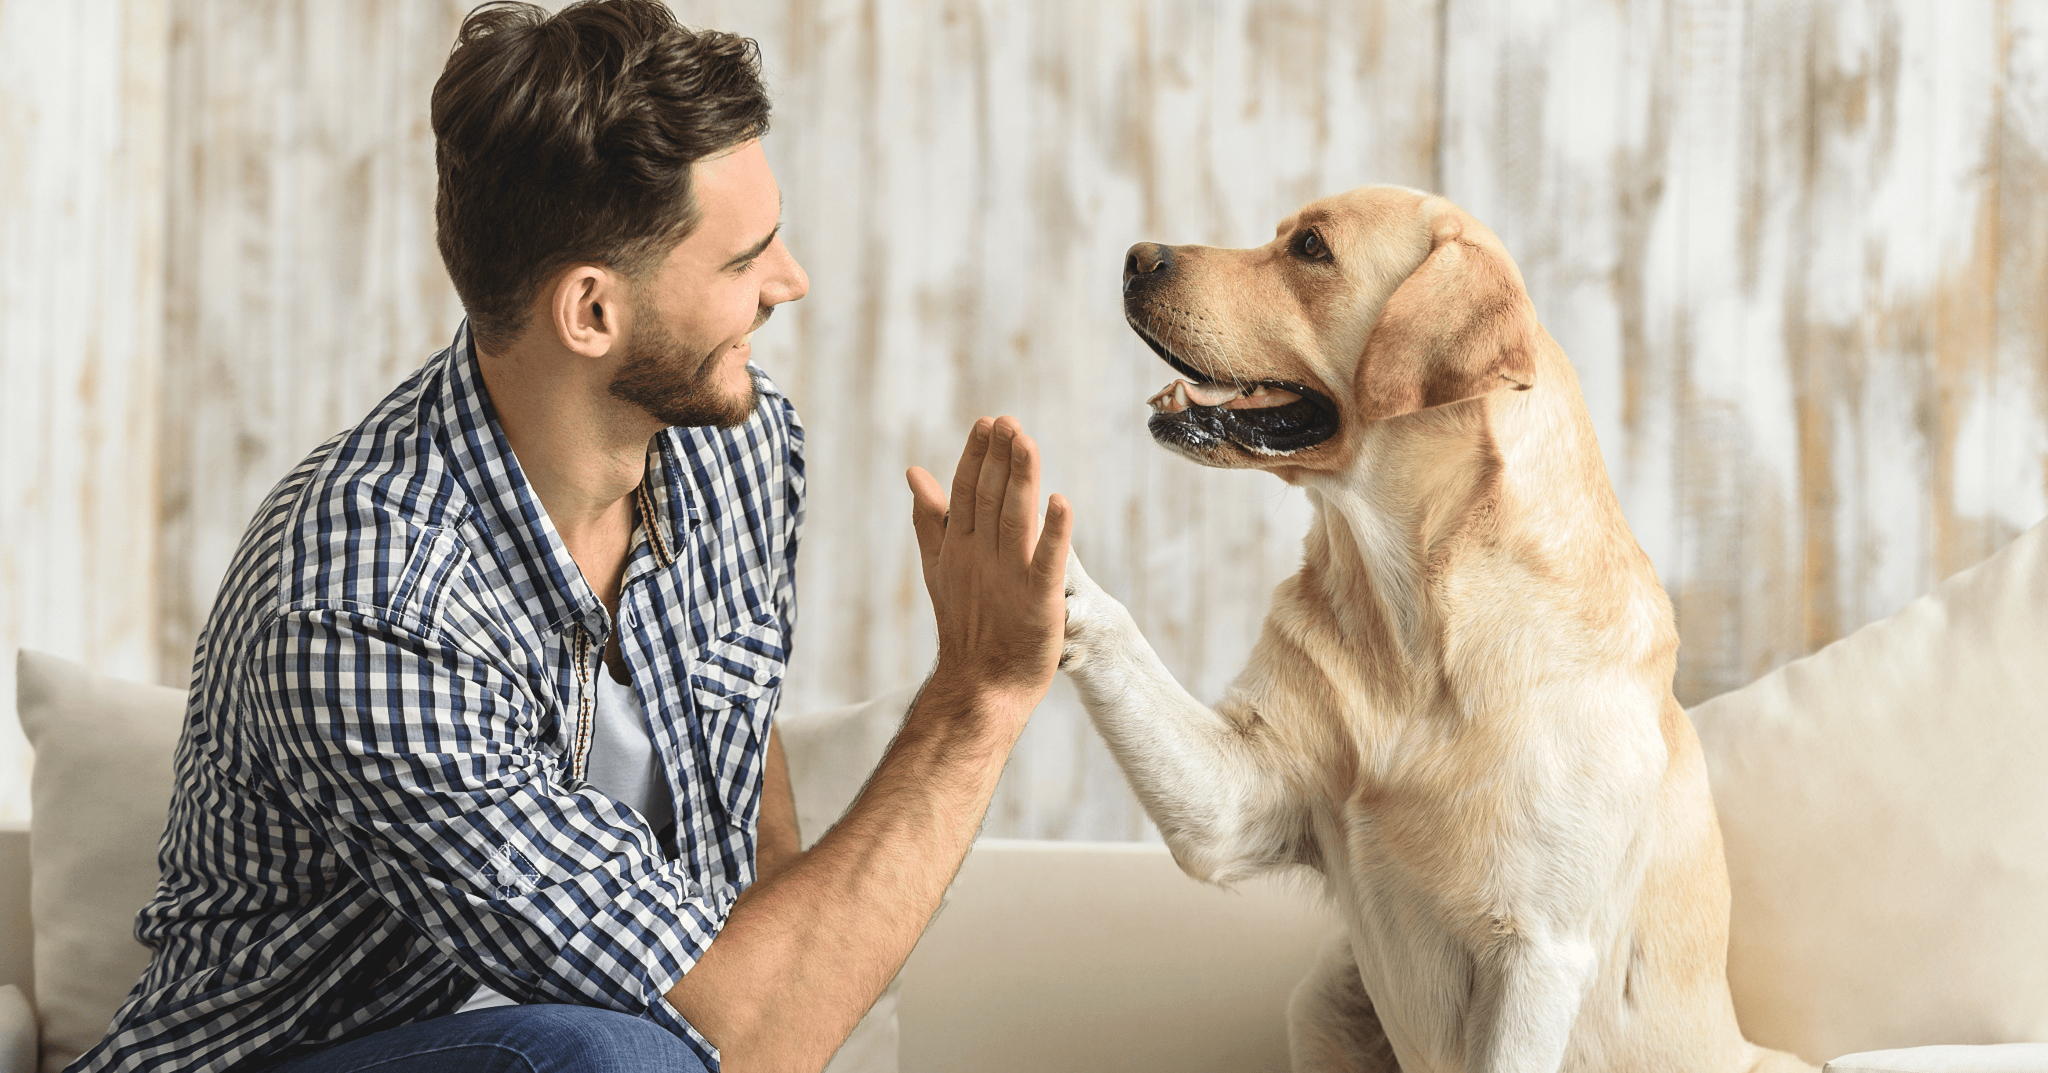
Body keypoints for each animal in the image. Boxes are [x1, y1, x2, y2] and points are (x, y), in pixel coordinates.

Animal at [1064, 188, 1818, 1073]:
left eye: (1311, 248)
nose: (1135, 256)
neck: (1414, 616)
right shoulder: (1234, 797)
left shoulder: (1538, 950)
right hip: (1324, 995)